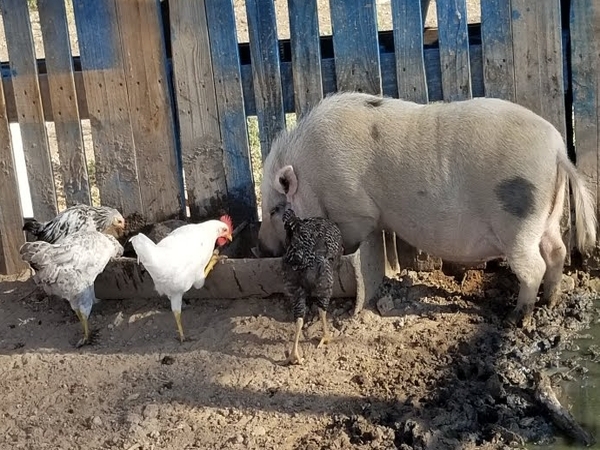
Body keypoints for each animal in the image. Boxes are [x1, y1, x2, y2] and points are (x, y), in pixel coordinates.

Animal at [256, 90, 596, 326]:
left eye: (274, 210)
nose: (260, 247)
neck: (310, 173)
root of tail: (557, 150)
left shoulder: (353, 208)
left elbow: (353, 235)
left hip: (518, 220)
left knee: (534, 266)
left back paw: (517, 318)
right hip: (547, 217)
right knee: (556, 252)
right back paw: (549, 301)